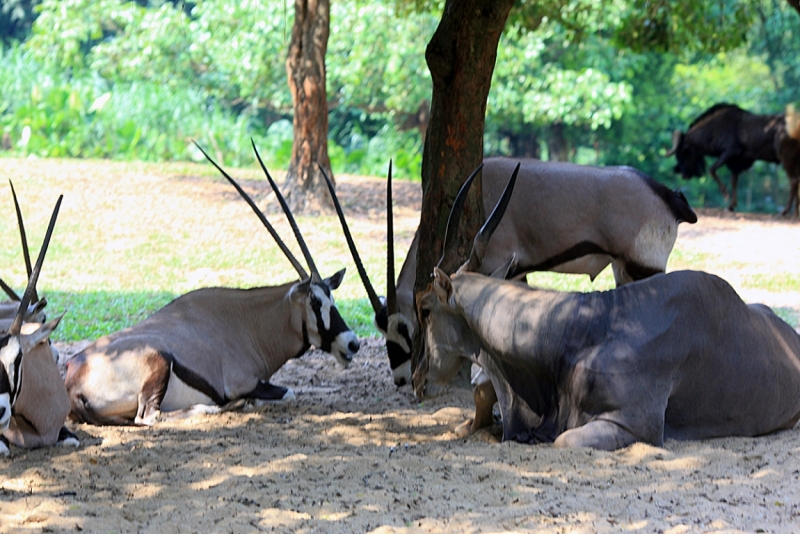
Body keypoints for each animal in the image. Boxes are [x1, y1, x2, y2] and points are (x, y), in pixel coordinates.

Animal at [65, 142, 360, 428]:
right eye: (315, 301)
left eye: (332, 299)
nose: (352, 344)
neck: (250, 324)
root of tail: (73, 379)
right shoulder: (243, 382)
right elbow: (288, 392)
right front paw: (247, 401)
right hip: (159, 362)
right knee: (150, 416)